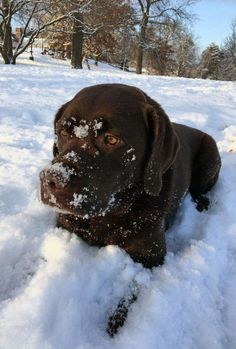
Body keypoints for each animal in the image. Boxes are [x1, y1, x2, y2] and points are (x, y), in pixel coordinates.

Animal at [39, 83, 221, 268]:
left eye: (111, 139)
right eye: (63, 132)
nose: (51, 179)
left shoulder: (150, 254)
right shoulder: (65, 226)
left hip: (209, 157)